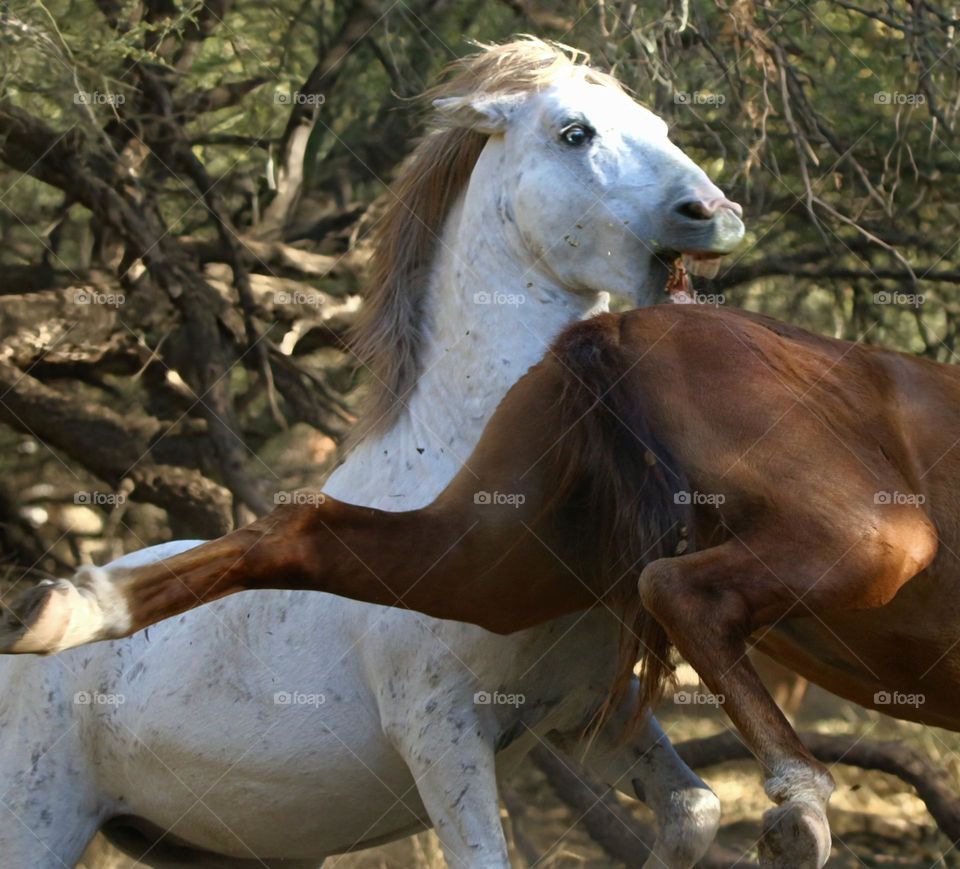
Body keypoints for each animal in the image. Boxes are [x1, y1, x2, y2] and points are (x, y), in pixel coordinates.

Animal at [0, 40, 745, 868]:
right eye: (574, 132)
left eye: (662, 124)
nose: (715, 215)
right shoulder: (442, 733)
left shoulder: (584, 716)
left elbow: (697, 807)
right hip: (37, 821)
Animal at [13, 302, 958, 869]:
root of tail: (621, 327)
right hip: (876, 533)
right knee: (679, 589)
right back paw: (801, 806)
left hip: (503, 558)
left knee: (303, 529)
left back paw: (63, 611)